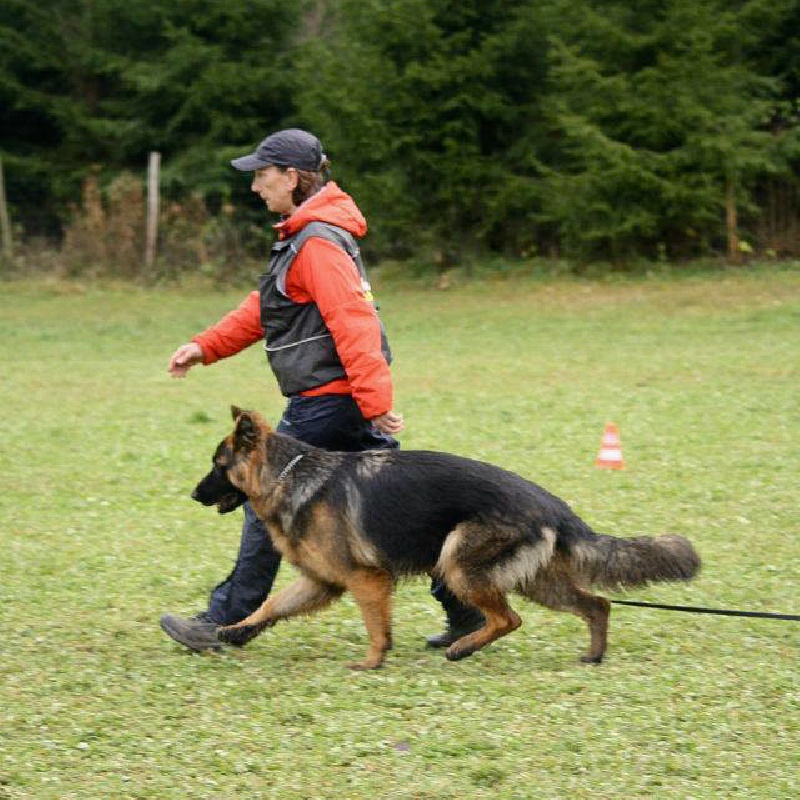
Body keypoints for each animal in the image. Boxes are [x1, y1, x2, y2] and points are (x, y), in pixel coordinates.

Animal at [192, 406, 700, 668]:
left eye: (218, 465)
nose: (193, 494)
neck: (289, 475)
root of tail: (554, 504)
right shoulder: (322, 581)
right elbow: (273, 605)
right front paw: (235, 630)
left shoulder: (365, 580)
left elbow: (376, 626)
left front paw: (372, 662)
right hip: (535, 581)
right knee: (596, 605)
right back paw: (592, 655)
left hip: (459, 561)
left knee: (509, 618)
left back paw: (462, 647)